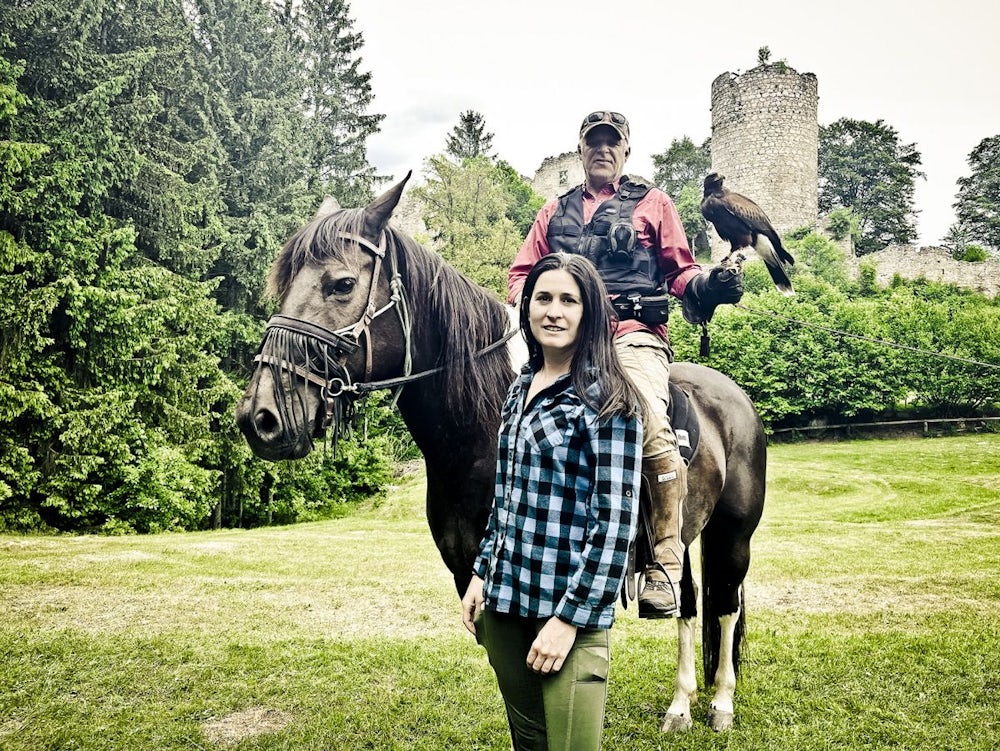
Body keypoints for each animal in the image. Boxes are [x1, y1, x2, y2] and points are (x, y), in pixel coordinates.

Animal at [234, 175, 764, 728]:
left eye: (340, 284)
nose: (259, 417)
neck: (481, 433)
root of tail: (733, 396)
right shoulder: (477, 584)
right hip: (685, 540)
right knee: (687, 606)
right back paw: (681, 705)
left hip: (732, 537)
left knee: (724, 608)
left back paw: (721, 702)